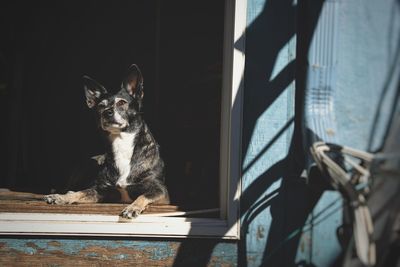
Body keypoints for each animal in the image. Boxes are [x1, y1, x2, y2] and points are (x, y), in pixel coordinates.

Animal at [43, 65, 169, 220]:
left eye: (122, 103)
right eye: (100, 106)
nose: (106, 113)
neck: (122, 143)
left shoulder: (160, 191)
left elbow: (143, 196)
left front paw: (132, 207)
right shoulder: (101, 191)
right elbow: (81, 192)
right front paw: (61, 197)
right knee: (71, 189)